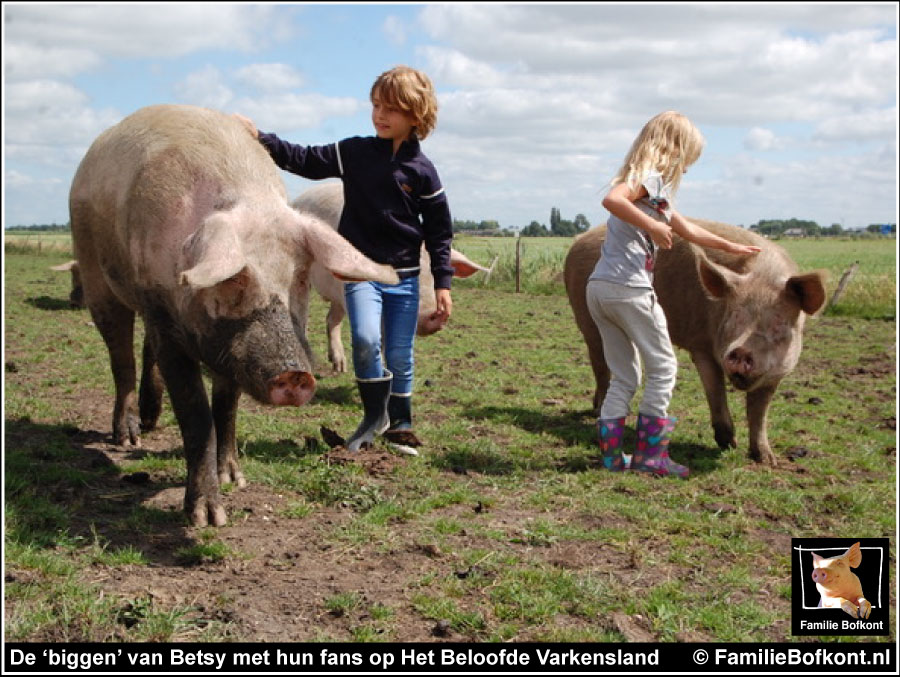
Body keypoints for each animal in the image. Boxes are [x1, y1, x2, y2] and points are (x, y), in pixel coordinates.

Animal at [69, 107, 394, 528]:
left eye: (301, 275)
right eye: (234, 278)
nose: (295, 374)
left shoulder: (231, 351)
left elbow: (226, 408)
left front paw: (235, 479)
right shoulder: (167, 320)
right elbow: (196, 414)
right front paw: (208, 518)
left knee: (143, 350)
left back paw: (150, 421)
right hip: (95, 271)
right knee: (120, 356)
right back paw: (127, 437)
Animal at [568, 222, 828, 464]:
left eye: (779, 323)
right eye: (734, 316)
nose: (740, 351)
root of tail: (580, 238)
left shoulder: (776, 373)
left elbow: (758, 412)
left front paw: (766, 460)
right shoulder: (702, 346)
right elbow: (716, 392)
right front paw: (729, 444)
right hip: (586, 318)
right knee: (600, 365)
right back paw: (598, 411)